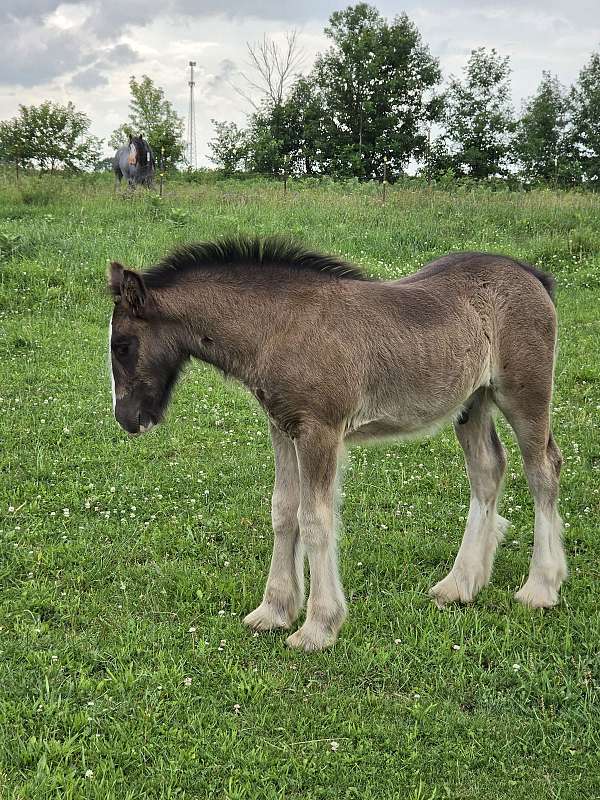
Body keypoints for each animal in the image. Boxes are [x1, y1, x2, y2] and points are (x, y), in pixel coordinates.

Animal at [106, 237, 566, 652]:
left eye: (122, 345)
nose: (128, 419)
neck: (278, 326)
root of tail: (531, 274)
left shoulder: (319, 431)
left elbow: (314, 519)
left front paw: (317, 628)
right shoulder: (283, 428)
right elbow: (283, 511)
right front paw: (274, 610)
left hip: (524, 393)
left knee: (543, 469)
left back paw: (541, 586)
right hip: (473, 402)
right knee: (488, 470)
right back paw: (460, 584)